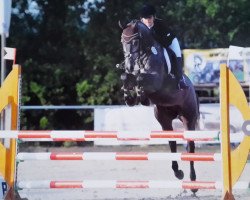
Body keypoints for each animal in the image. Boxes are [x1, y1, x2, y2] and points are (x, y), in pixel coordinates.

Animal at [116, 19, 199, 194]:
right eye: (122, 42)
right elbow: (126, 77)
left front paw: (139, 93)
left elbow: (140, 78)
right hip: (164, 118)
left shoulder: (156, 81)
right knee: (172, 143)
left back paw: (194, 184)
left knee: (191, 146)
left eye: (135, 41)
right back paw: (178, 173)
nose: (128, 64)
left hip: (189, 117)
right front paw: (130, 97)